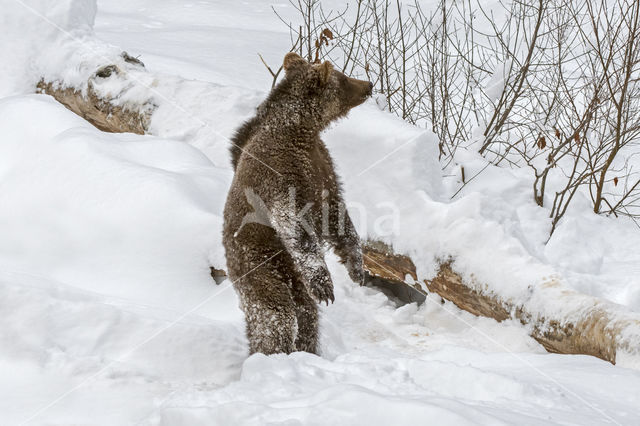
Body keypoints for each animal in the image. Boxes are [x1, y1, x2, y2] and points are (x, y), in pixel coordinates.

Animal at [222, 51, 372, 354]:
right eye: (344, 78)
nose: (369, 85)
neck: (300, 131)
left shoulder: (322, 169)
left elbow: (336, 215)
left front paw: (356, 266)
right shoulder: (278, 173)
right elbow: (292, 221)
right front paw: (325, 285)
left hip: (289, 269)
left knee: (306, 312)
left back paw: (307, 348)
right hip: (256, 260)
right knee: (275, 312)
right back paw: (271, 350)